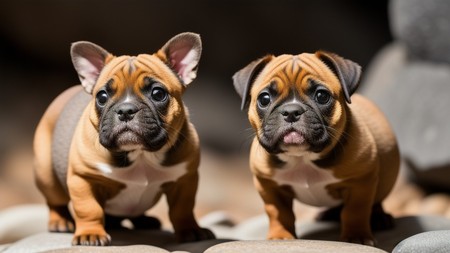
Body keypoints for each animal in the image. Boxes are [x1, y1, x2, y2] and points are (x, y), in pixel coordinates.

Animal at [33, 32, 214, 246]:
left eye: (158, 93)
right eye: (102, 97)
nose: (126, 110)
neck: (141, 155)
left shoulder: (185, 179)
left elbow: (183, 209)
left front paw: (189, 230)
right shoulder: (83, 178)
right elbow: (88, 209)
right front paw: (90, 233)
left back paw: (145, 221)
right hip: (47, 174)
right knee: (55, 202)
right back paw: (60, 222)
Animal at [234, 51, 400, 245]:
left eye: (321, 96)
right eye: (264, 98)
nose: (291, 111)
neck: (302, 158)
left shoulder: (361, 182)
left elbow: (355, 210)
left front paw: (356, 236)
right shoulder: (268, 186)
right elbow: (278, 213)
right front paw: (280, 236)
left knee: (375, 202)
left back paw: (380, 218)